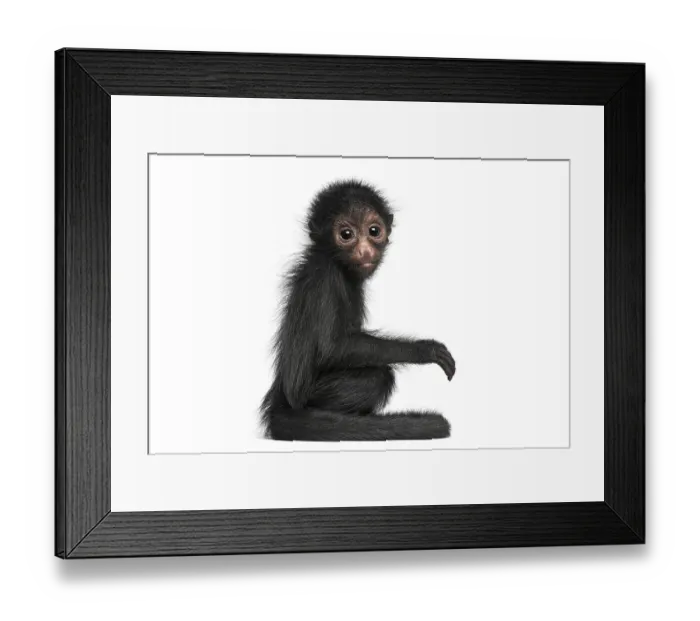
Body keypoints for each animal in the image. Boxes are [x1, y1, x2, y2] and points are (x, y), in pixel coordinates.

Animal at [260, 179, 456, 441]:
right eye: (346, 235)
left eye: (374, 231)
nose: (364, 251)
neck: (336, 263)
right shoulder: (325, 277)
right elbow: (331, 348)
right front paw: (424, 350)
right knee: (379, 376)